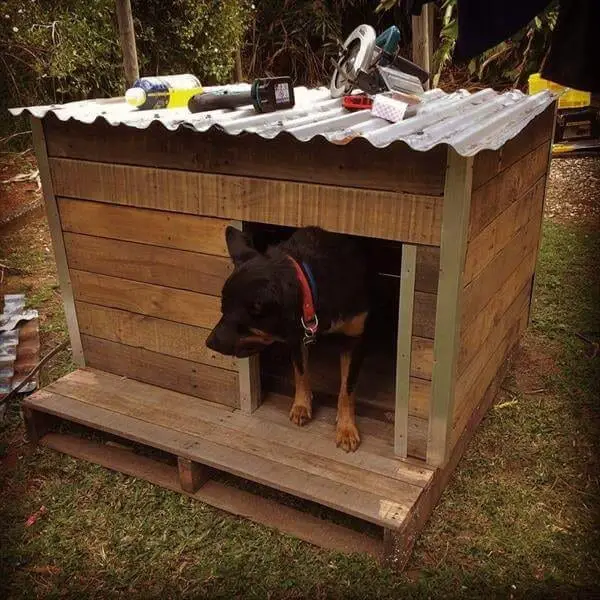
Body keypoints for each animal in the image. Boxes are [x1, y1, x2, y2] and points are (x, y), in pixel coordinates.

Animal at [206, 227, 368, 452]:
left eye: (239, 323)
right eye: (222, 310)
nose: (208, 342)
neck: (310, 286)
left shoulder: (354, 340)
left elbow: (347, 388)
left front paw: (346, 428)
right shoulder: (298, 335)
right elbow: (300, 371)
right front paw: (301, 405)